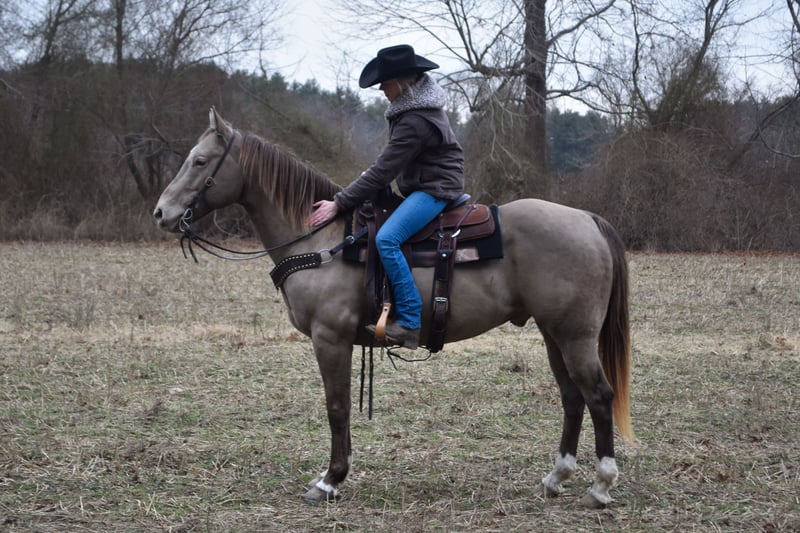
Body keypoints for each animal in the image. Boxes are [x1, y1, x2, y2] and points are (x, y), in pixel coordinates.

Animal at [153, 107, 633, 508]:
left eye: (200, 161)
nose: (162, 213)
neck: (323, 239)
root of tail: (587, 220)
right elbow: (342, 407)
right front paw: (337, 475)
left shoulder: (330, 338)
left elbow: (337, 406)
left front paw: (329, 480)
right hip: (553, 333)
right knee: (572, 397)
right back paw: (557, 477)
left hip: (575, 335)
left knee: (598, 395)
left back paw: (601, 485)